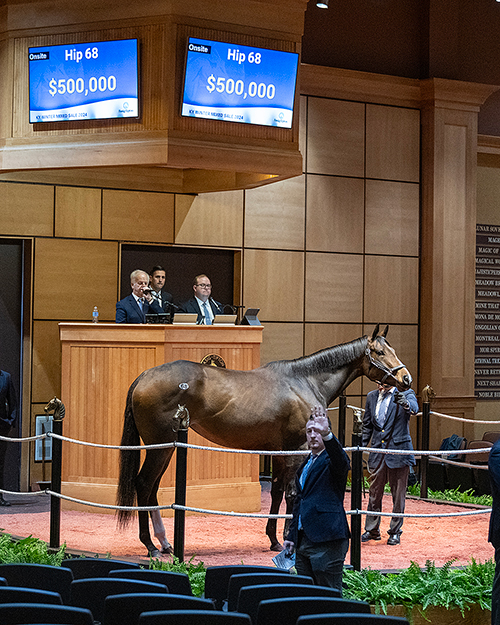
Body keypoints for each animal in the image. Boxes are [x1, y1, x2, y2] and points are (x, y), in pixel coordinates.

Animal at [116, 324, 410, 552]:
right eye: (380, 352)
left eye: (394, 350)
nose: (406, 378)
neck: (305, 381)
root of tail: (144, 376)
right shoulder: (298, 449)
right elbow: (293, 494)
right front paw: (289, 540)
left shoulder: (280, 452)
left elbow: (278, 492)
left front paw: (273, 540)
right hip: (160, 447)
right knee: (144, 484)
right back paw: (151, 545)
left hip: (166, 447)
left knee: (152, 488)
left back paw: (164, 542)